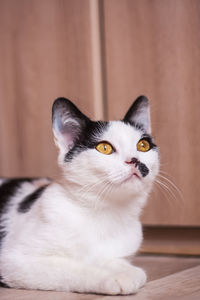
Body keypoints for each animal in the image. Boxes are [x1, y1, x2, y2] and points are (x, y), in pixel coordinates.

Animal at [0, 96, 159, 296]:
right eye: (104, 148)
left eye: (143, 145)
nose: (134, 160)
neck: (105, 212)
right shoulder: (13, 261)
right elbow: (71, 268)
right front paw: (111, 277)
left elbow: (116, 262)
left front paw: (126, 270)